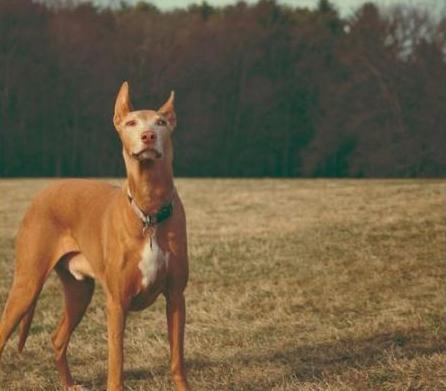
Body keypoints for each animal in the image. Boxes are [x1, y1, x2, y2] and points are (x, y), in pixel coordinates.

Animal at [0, 82, 190, 391]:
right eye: (131, 123)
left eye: (161, 123)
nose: (148, 136)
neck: (148, 211)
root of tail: (43, 193)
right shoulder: (117, 303)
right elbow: (116, 363)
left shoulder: (175, 298)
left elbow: (176, 360)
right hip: (26, 285)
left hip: (79, 291)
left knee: (58, 338)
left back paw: (68, 384)